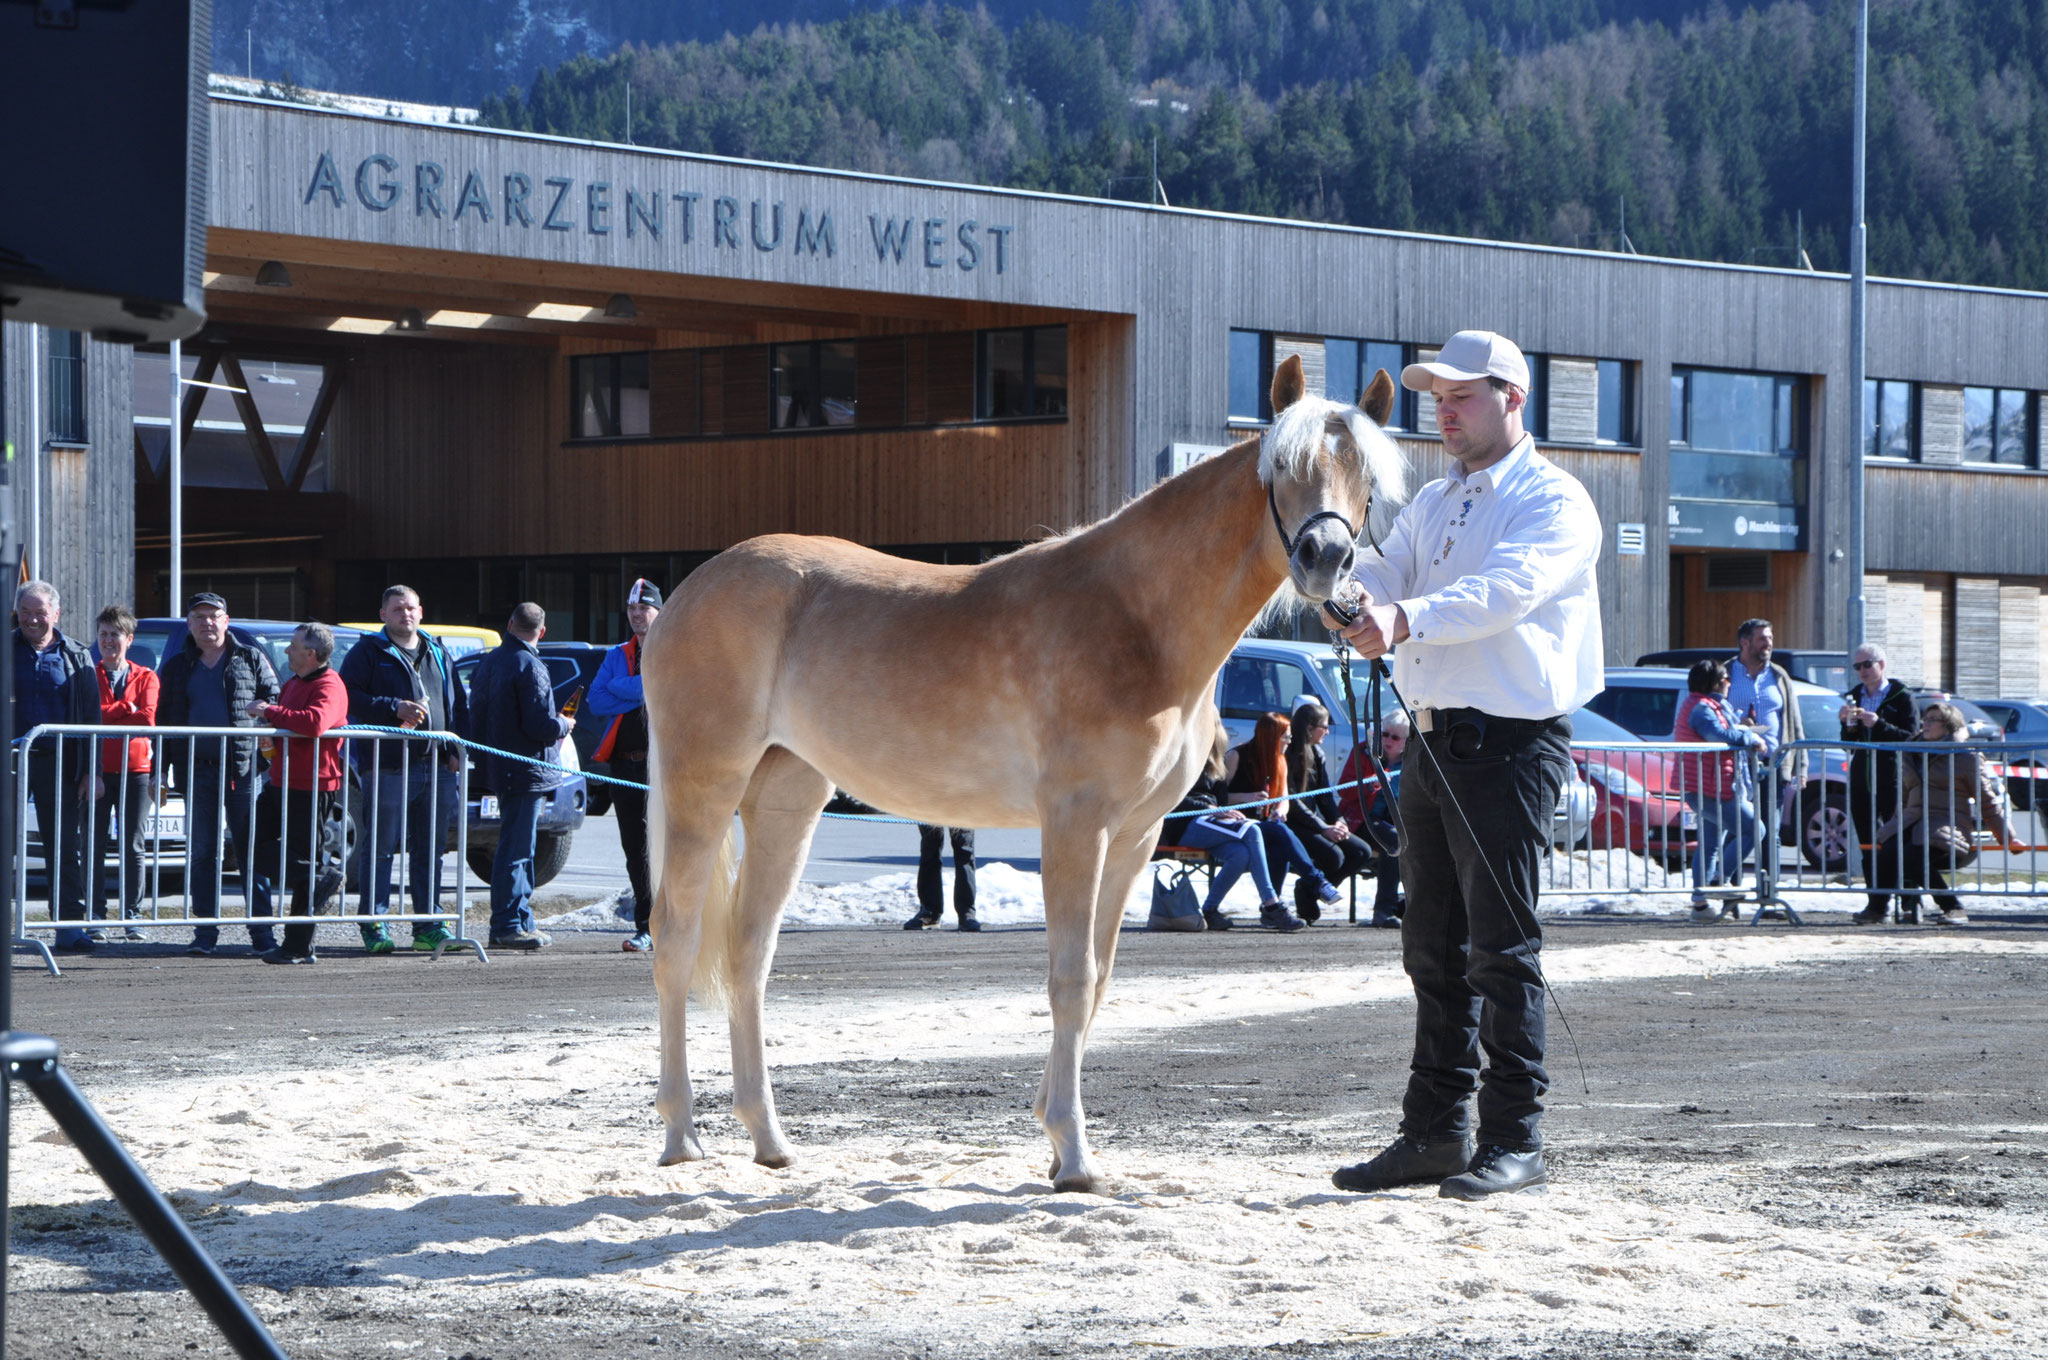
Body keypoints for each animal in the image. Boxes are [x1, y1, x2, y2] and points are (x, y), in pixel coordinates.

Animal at [643, 358, 1409, 1187]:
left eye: (1362, 472)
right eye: (1284, 466)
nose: (1325, 560)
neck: (1136, 620)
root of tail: (686, 595)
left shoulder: (1136, 836)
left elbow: (1099, 978)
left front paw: (1053, 1131)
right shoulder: (1076, 824)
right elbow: (1069, 980)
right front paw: (1072, 1152)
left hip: (787, 799)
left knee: (749, 952)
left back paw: (769, 1138)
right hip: (704, 786)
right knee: (677, 937)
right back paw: (680, 1134)